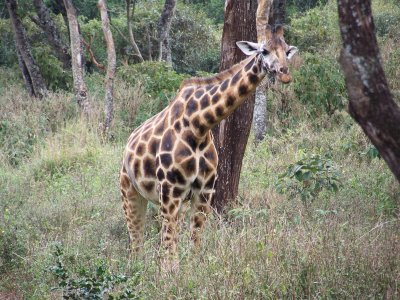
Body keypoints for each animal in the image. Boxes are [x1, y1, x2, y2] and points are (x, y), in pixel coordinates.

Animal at [119, 24, 296, 270]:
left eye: (287, 50)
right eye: (264, 51)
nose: (284, 73)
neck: (200, 126)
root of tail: (128, 143)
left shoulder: (204, 190)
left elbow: (195, 242)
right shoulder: (170, 190)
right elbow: (170, 248)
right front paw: (169, 275)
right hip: (130, 190)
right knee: (137, 239)